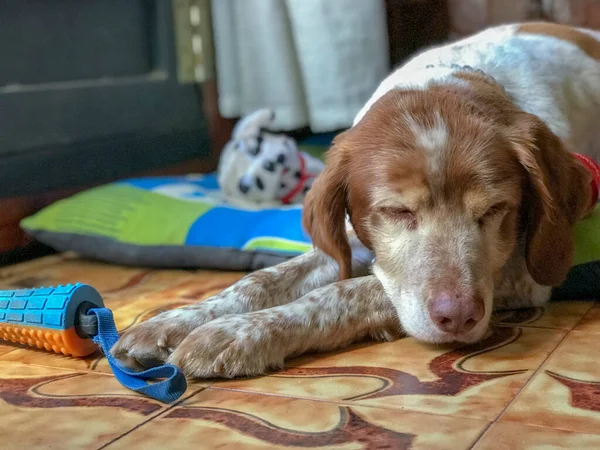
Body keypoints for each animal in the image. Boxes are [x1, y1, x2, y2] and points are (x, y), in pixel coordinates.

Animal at [112, 22, 600, 378]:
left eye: (496, 210)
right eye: (396, 211)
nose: (459, 317)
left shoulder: (521, 274)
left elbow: (344, 293)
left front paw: (236, 335)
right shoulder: (348, 238)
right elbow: (260, 281)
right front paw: (174, 320)